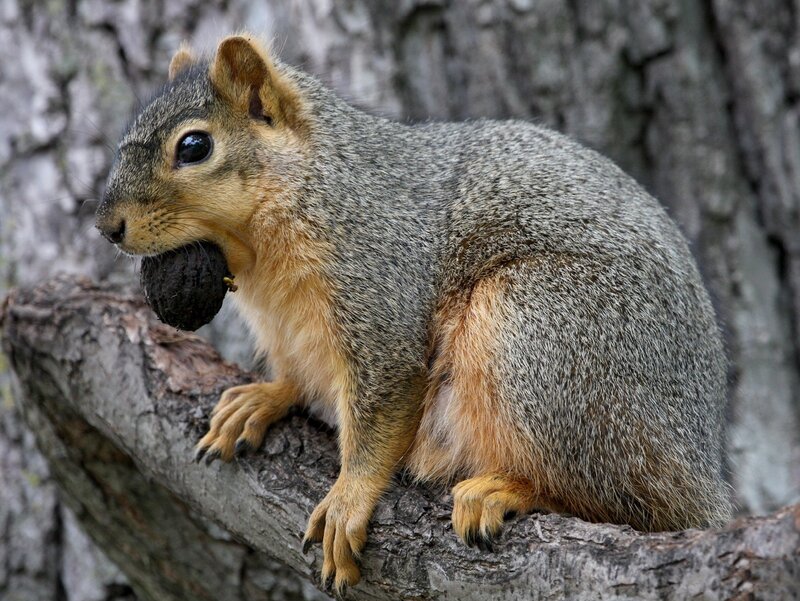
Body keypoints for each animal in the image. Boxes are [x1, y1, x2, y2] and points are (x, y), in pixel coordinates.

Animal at [96, 34, 733, 592]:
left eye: (194, 146)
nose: (106, 227)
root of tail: (698, 463)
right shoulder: (288, 330)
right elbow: (299, 376)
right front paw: (264, 397)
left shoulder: (378, 286)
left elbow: (381, 410)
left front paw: (348, 498)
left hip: (539, 334)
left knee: (617, 497)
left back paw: (506, 490)